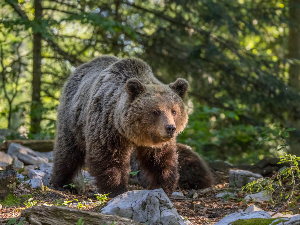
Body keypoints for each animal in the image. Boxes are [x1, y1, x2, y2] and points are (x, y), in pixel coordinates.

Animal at [51, 55, 188, 196]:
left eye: (174, 111)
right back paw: (63, 182)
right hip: (73, 119)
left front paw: (162, 185)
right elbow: (109, 157)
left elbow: (160, 159)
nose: (170, 128)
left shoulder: (156, 140)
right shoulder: (108, 127)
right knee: (68, 152)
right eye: (156, 111)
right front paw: (116, 188)